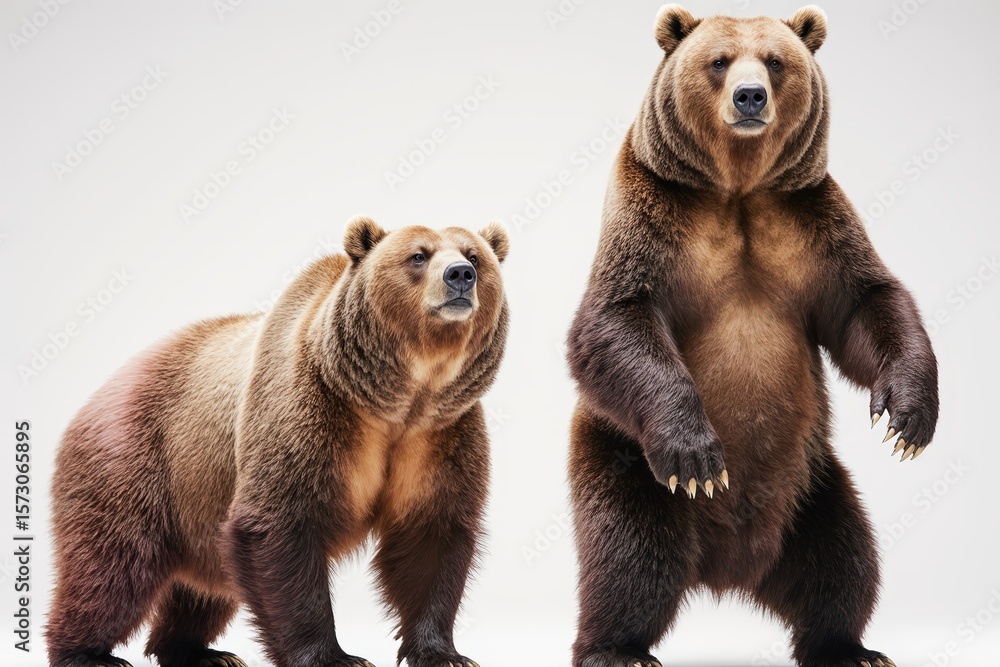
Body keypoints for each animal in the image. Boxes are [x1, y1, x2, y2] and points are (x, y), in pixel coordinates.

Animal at [46, 217, 510, 667]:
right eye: (418, 255)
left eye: (474, 255)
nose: (460, 275)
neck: (397, 399)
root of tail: (99, 392)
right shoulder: (307, 413)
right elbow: (281, 526)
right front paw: (333, 657)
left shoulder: (440, 435)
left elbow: (431, 536)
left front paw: (444, 654)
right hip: (135, 461)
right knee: (114, 565)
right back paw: (87, 654)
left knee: (203, 587)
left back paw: (203, 653)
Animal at [566, 5, 938, 667]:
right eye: (718, 61)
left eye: (775, 60)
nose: (749, 96)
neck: (735, 189)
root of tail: (728, 570)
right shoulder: (652, 216)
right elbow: (615, 318)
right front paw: (697, 455)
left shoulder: (809, 219)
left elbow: (866, 303)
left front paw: (907, 418)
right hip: (624, 456)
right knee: (630, 552)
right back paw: (617, 646)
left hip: (811, 483)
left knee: (843, 555)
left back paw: (851, 646)